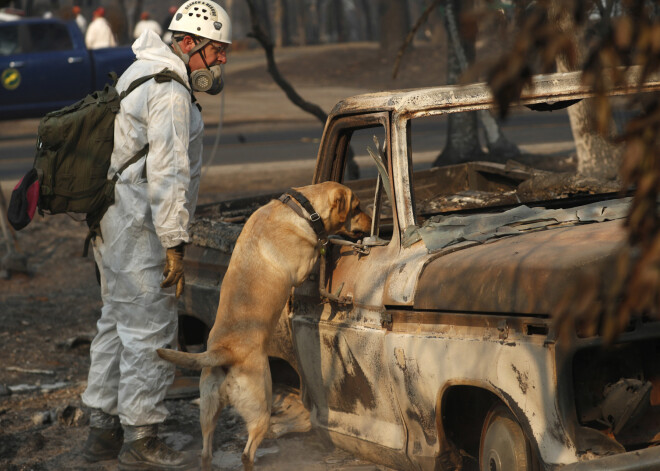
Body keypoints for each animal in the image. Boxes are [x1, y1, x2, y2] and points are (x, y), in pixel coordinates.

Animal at [156, 183, 372, 471]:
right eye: (357, 208)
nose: (371, 224)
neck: (300, 209)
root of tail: (224, 352)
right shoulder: (303, 268)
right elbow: (319, 248)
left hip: (208, 410)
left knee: (205, 452)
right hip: (260, 408)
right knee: (247, 453)